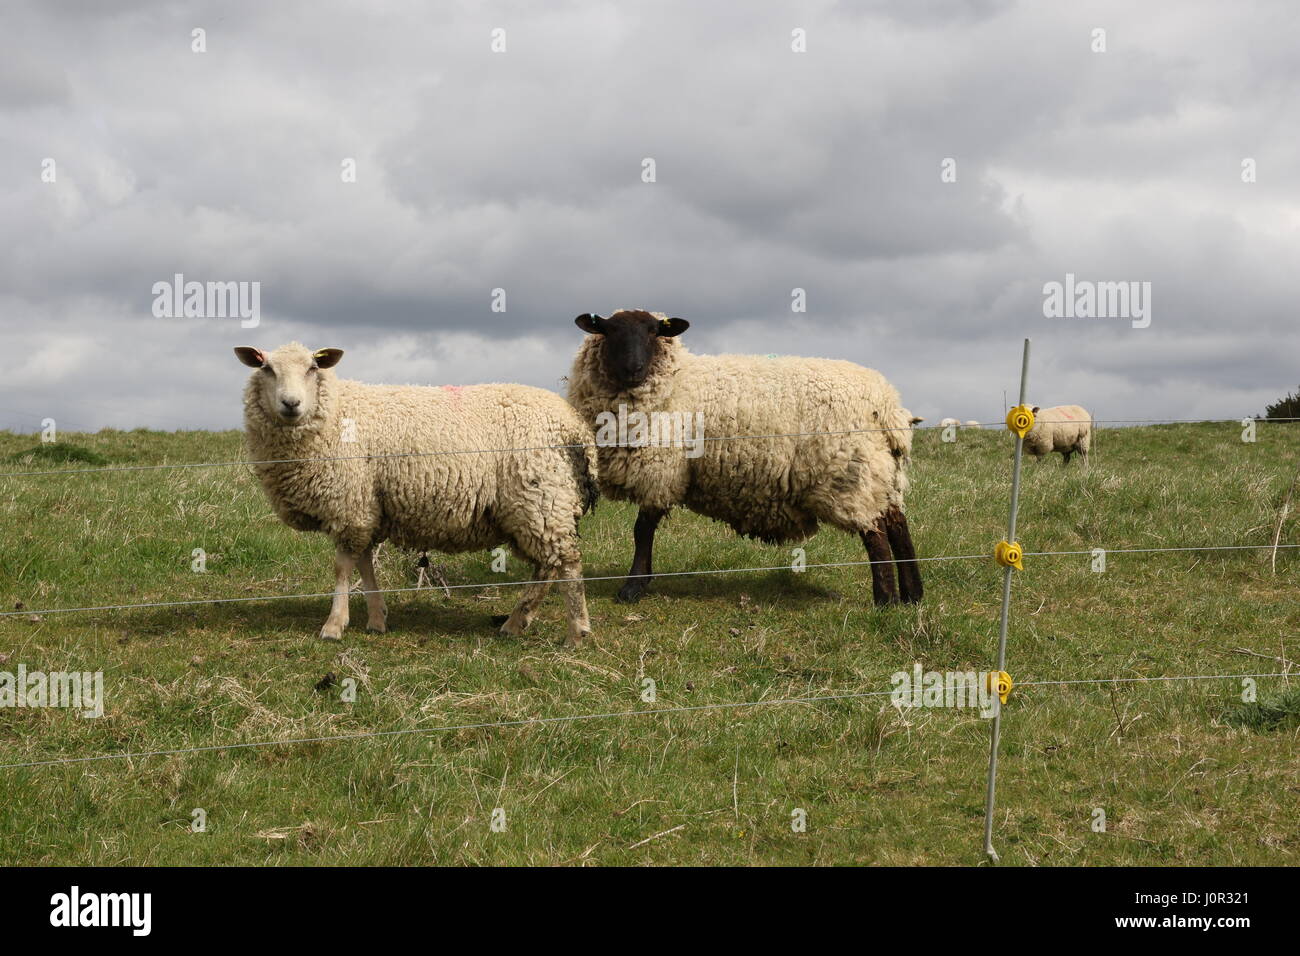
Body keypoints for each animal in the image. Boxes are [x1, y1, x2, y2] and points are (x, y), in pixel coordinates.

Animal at [235, 340, 598, 647]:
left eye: (313, 368)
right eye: (266, 368)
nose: (291, 404)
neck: (336, 411)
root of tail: (574, 425)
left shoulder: (351, 505)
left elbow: (343, 567)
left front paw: (334, 625)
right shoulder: (368, 508)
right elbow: (365, 564)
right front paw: (377, 618)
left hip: (540, 497)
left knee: (567, 563)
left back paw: (576, 632)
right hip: (539, 506)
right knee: (547, 567)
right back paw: (515, 623)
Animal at [569, 310, 925, 608]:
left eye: (654, 331)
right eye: (610, 331)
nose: (634, 369)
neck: (675, 379)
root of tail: (887, 403)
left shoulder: (662, 469)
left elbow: (642, 530)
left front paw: (632, 588)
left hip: (850, 475)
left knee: (876, 534)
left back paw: (885, 600)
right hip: (881, 474)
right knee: (897, 526)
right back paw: (912, 596)